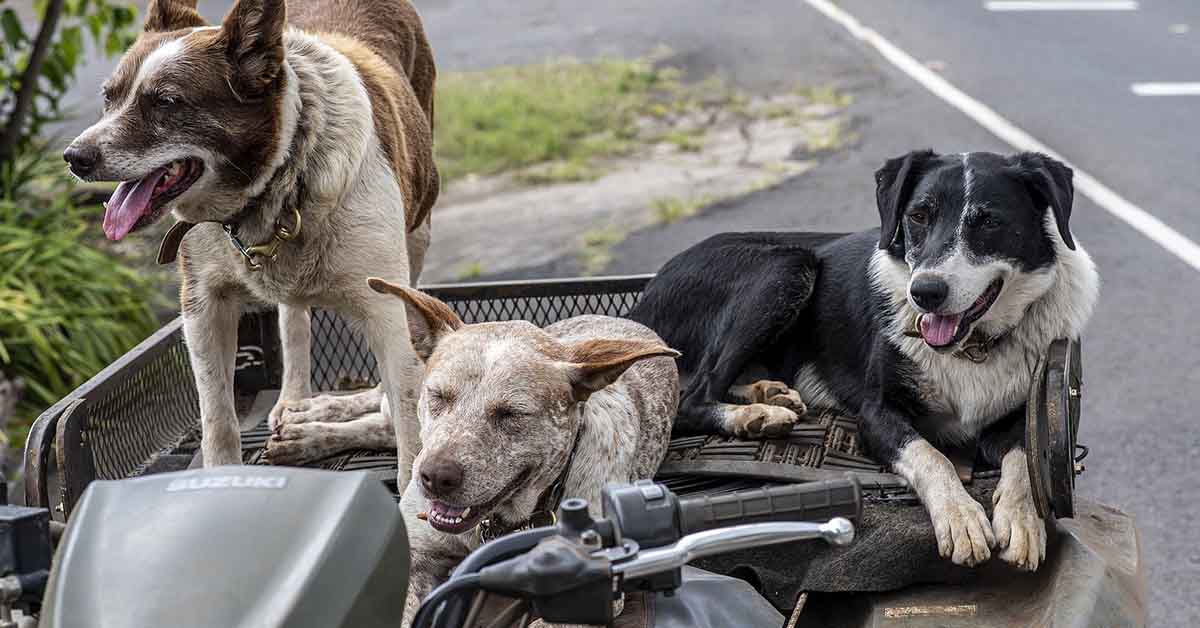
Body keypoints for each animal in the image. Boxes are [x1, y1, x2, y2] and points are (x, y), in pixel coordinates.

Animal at [63, 0, 439, 487]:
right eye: (109, 97)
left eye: (166, 102)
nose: (74, 157)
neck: (277, 182)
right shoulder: (203, 305)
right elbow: (217, 420)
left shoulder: (388, 313)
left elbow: (410, 430)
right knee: (293, 317)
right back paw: (298, 403)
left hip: (419, 232)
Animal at [633, 151, 1099, 569]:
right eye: (918, 216)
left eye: (989, 222)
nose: (924, 293)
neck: (972, 346)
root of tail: (642, 302)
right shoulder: (875, 415)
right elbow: (932, 456)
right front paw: (961, 518)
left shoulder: (1023, 414)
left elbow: (1024, 458)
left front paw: (1022, 521)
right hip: (786, 265)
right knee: (691, 397)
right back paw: (754, 417)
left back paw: (768, 396)